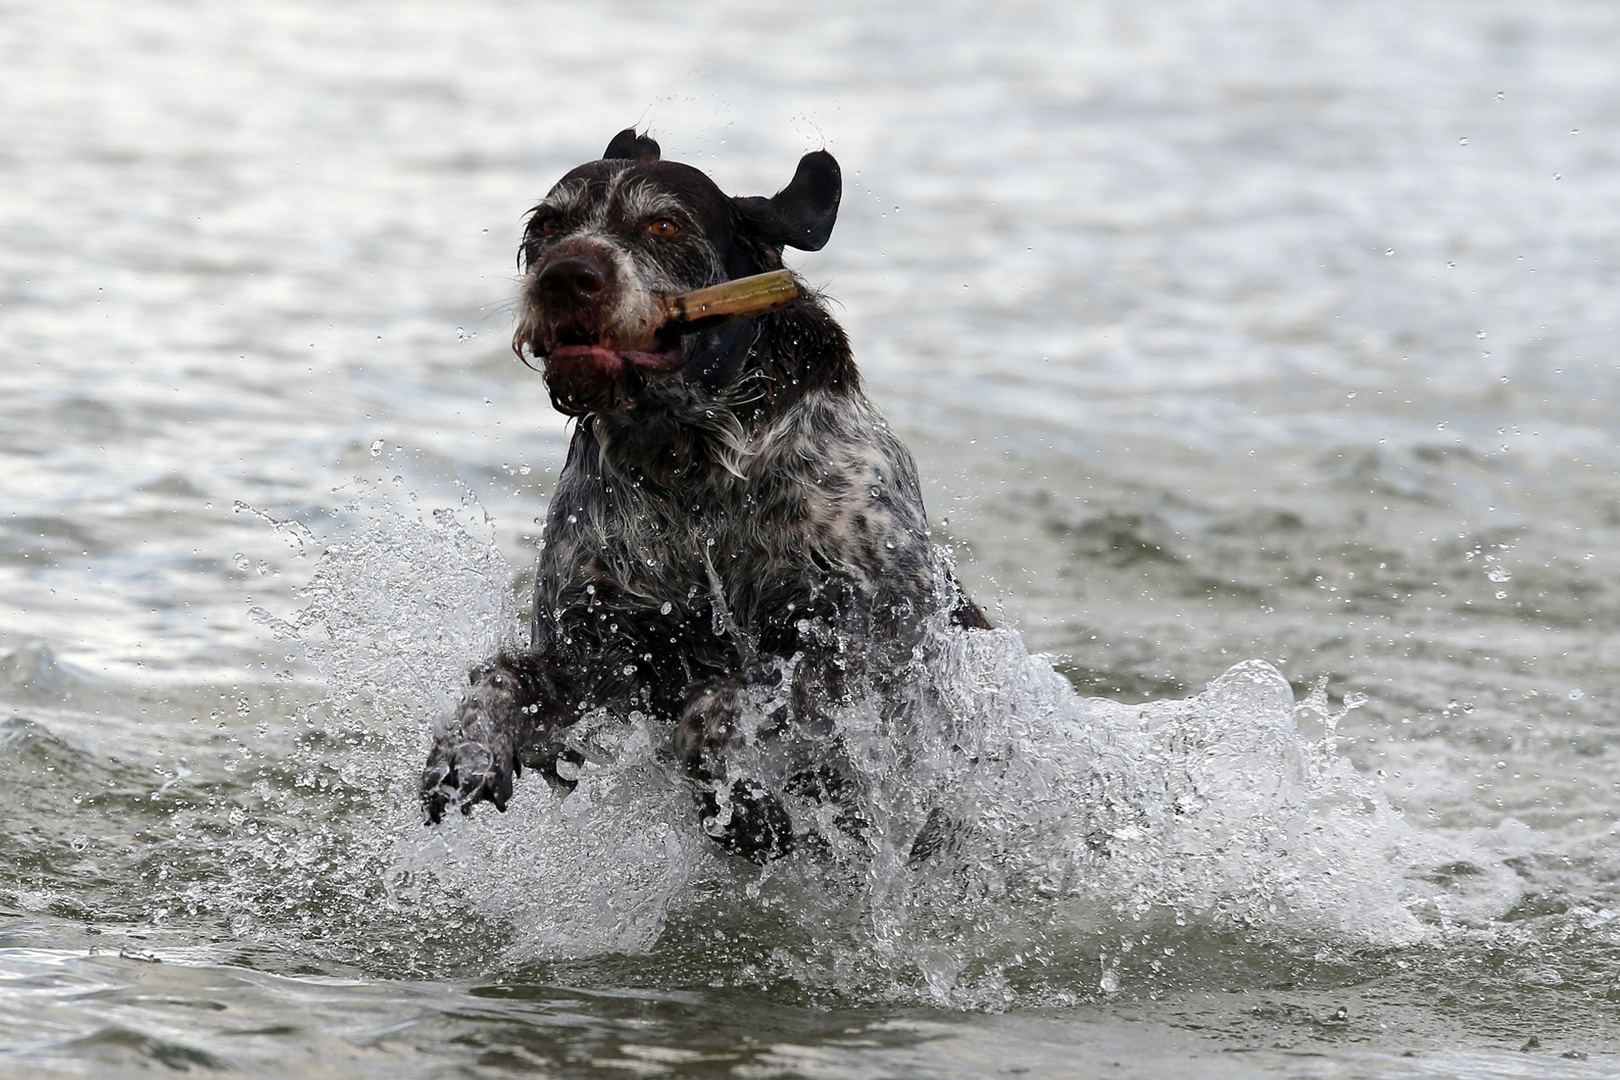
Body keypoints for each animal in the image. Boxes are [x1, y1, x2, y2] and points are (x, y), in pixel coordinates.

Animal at [421, 132, 984, 861]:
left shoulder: (875, 622)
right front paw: (467, 749)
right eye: (546, 226)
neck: (688, 464)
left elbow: (733, 699)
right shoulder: (593, 649)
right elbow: (503, 683)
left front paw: (740, 795)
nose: (566, 278)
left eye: (664, 225)